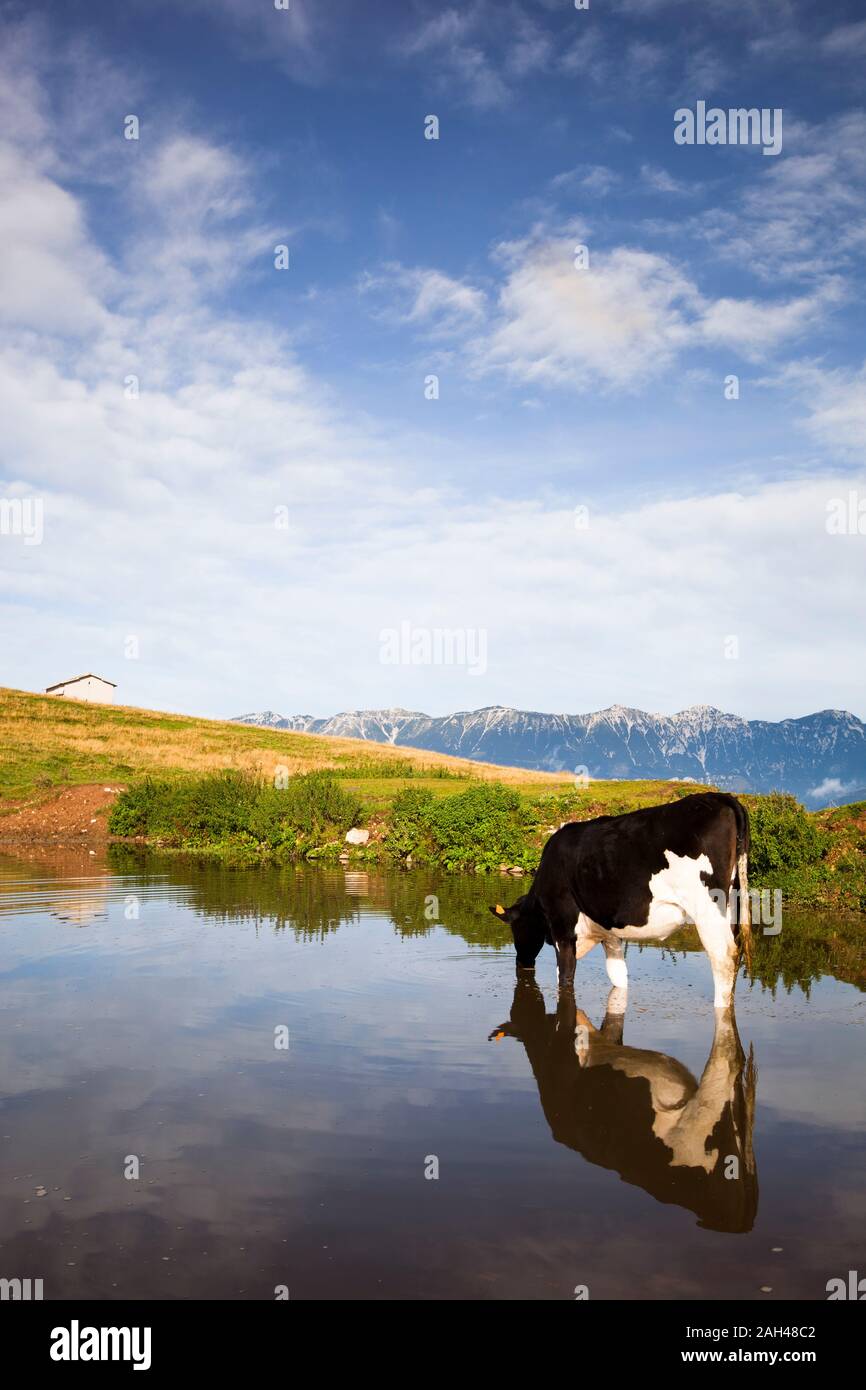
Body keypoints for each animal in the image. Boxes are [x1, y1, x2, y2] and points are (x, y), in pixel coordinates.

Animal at [492, 795, 750, 1011]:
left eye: (517, 929)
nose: (521, 963)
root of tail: (722, 798)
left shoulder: (563, 928)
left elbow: (564, 978)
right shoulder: (610, 935)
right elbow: (619, 977)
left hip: (707, 907)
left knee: (724, 957)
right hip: (732, 907)